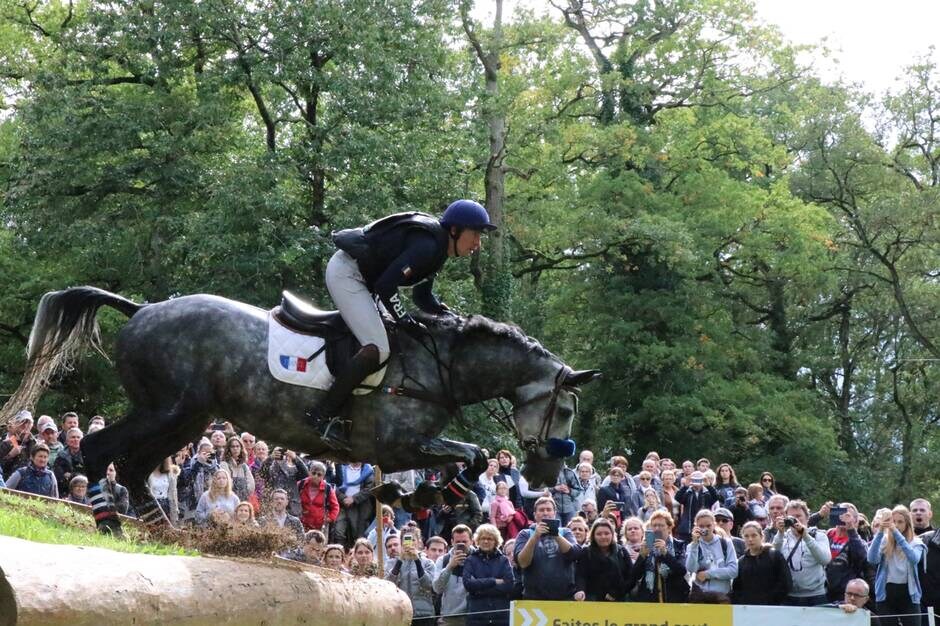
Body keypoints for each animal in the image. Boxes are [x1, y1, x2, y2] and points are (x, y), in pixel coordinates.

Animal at [1, 288, 604, 532]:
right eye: (566, 413)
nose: (544, 474)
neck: (441, 365)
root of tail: (143, 308)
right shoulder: (395, 444)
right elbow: (474, 455)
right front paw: (420, 495)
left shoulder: (407, 446)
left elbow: (469, 459)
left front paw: (418, 495)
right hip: (168, 409)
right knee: (101, 450)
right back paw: (111, 524)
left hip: (189, 415)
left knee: (133, 466)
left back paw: (163, 529)